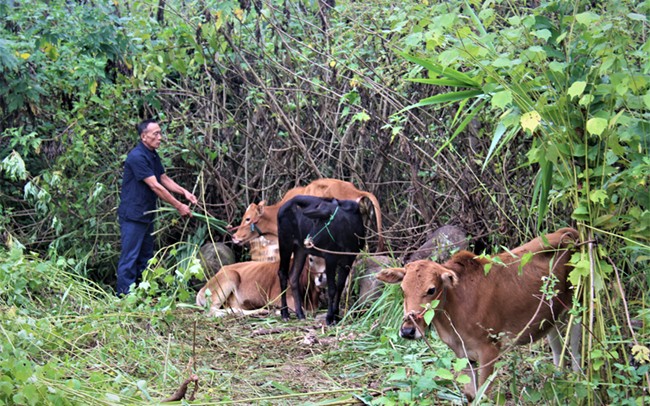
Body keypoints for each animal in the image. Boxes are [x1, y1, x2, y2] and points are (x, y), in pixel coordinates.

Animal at [274, 195, 362, 326]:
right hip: (285, 242)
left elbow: (340, 287)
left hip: (300, 249)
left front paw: (336, 315)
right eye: (314, 221)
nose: (308, 241)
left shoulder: (349, 260)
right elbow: (332, 289)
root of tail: (283, 206)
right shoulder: (330, 257)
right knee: (282, 273)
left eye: (318, 221)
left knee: (293, 275)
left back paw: (300, 314)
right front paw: (330, 317)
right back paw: (285, 313)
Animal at [374, 227, 584, 402]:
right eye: (403, 289)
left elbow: (482, 395)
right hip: (551, 316)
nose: (408, 330)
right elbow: (470, 394)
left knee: (575, 349)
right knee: (557, 347)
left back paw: (577, 386)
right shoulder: (463, 354)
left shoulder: (489, 349)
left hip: (577, 307)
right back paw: (558, 381)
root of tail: (567, 232)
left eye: (431, 289)